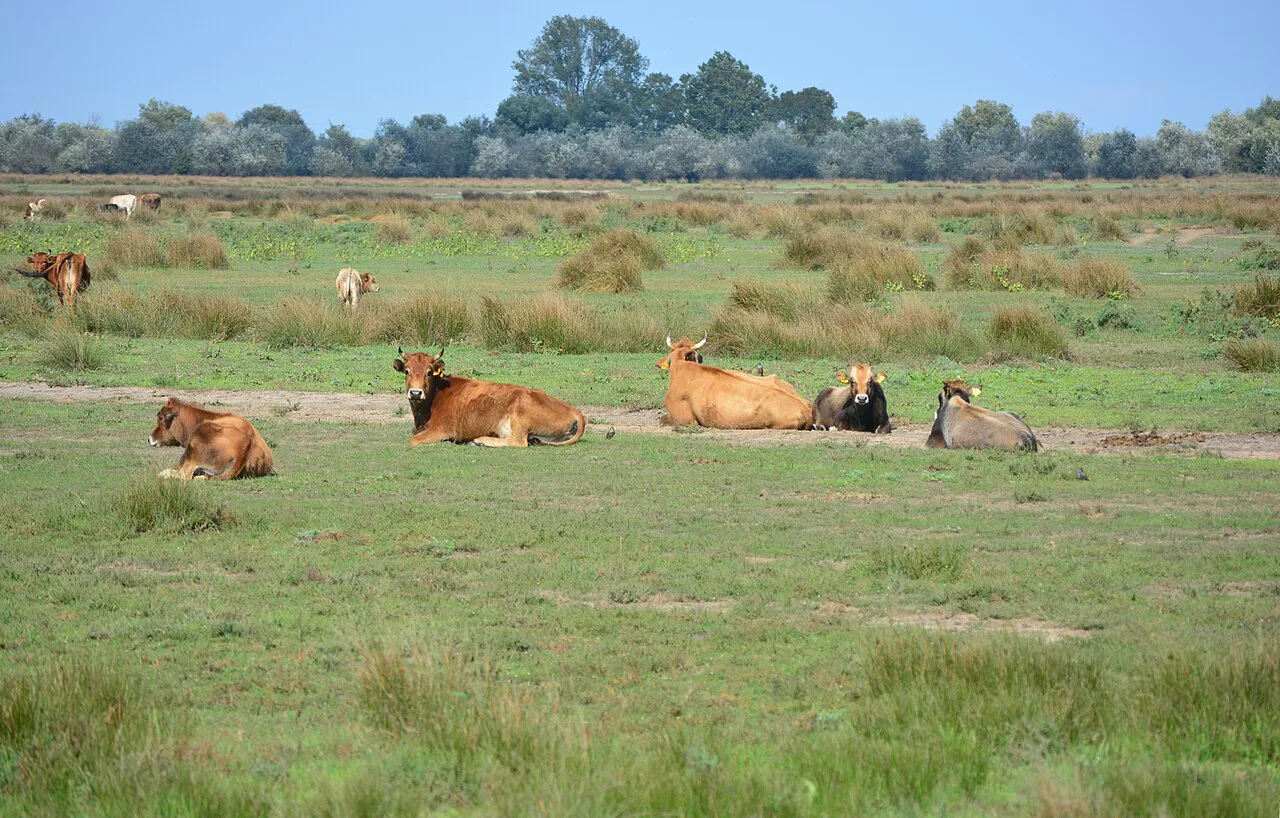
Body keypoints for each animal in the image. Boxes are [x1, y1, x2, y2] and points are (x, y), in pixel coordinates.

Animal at [392, 347, 585, 447]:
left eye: (429, 372)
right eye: (407, 371)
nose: (415, 393)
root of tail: (574, 411)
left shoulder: (441, 429)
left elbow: (414, 440)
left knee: (518, 442)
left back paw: (480, 440)